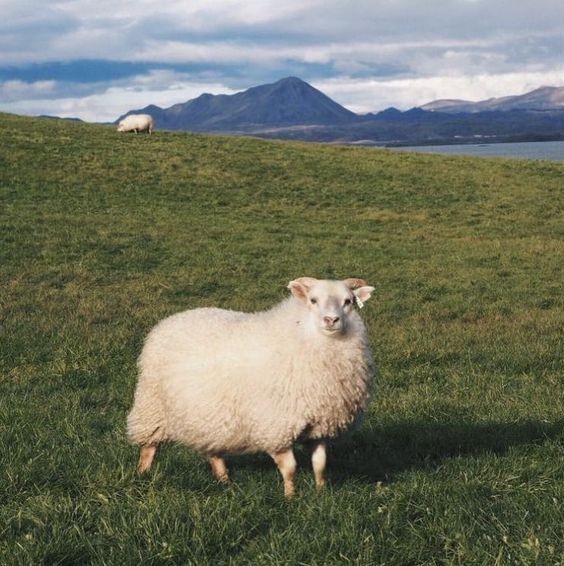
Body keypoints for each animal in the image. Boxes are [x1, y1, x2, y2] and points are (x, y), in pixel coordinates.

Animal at [127, 278, 374, 496]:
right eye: (313, 300)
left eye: (348, 301)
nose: (331, 320)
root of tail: (169, 320)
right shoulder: (276, 425)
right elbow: (290, 468)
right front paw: (290, 497)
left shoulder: (322, 426)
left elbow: (320, 464)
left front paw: (321, 493)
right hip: (153, 405)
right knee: (149, 446)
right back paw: (142, 474)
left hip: (208, 413)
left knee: (212, 448)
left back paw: (225, 481)